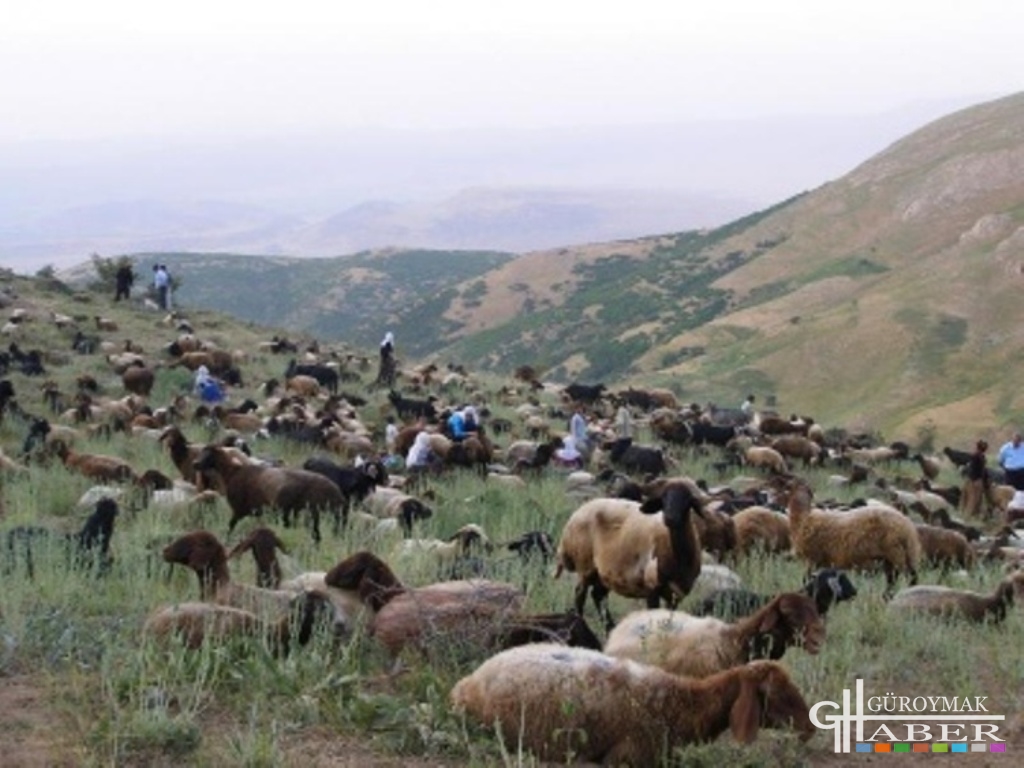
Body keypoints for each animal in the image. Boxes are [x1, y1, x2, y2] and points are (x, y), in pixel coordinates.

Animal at [192, 442, 348, 544]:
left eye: (209, 454)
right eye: (201, 452)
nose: (195, 464)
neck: (232, 473)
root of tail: (336, 493)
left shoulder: (239, 510)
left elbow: (230, 527)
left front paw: (226, 541)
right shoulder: (257, 513)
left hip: (309, 514)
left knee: (316, 537)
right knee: (319, 537)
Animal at [557, 481, 708, 630]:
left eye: (687, 501)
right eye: (663, 499)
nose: (670, 518)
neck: (678, 557)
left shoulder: (677, 594)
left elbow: (669, 620)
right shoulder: (651, 587)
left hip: (604, 572)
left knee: (598, 595)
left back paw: (610, 628)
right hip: (584, 565)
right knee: (580, 595)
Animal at [782, 479, 921, 593]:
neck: (803, 518)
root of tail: (907, 526)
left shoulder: (812, 559)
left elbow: (806, 579)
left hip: (896, 554)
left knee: (908, 577)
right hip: (896, 558)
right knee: (897, 580)